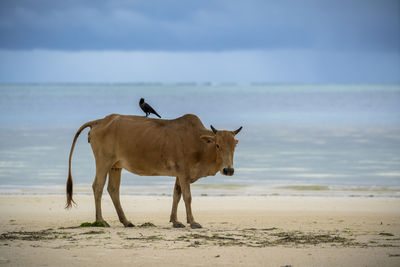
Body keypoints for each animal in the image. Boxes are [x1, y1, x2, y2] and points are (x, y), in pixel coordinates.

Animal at [65, 114, 242, 229]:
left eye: (234, 146)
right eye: (218, 145)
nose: (228, 169)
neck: (200, 144)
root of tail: (99, 121)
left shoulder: (179, 175)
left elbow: (176, 195)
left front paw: (176, 221)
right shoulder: (183, 173)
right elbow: (187, 197)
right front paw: (193, 222)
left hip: (116, 166)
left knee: (113, 189)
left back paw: (126, 222)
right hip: (103, 162)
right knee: (98, 187)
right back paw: (101, 221)